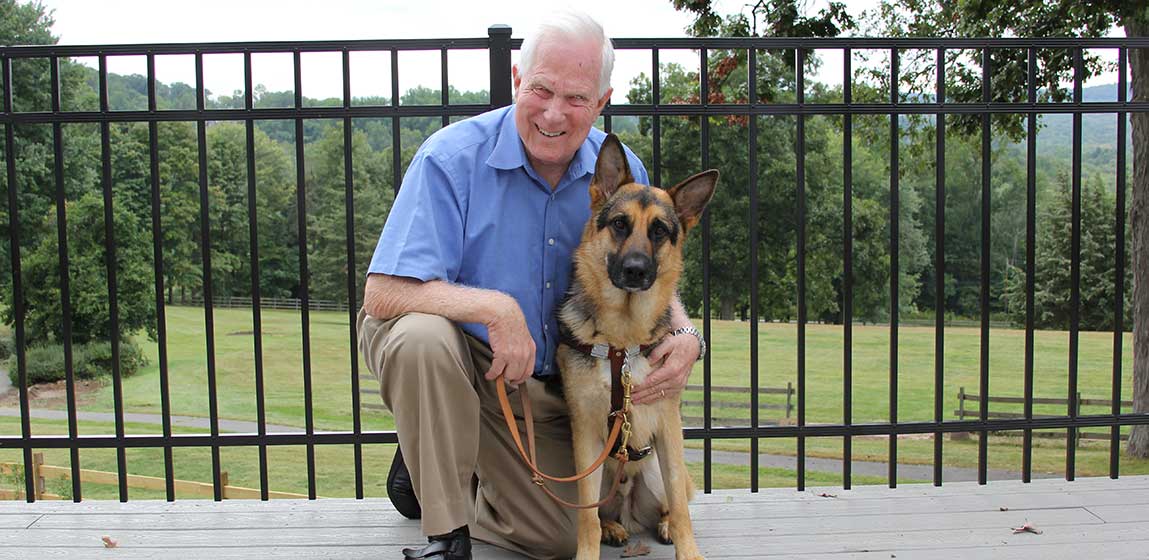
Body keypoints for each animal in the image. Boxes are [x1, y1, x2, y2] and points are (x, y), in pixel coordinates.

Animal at [558, 133, 716, 558]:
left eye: (660, 231)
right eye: (619, 224)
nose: (635, 270)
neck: (621, 340)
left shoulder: (668, 427)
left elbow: (681, 506)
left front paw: (689, 551)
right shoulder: (585, 436)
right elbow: (587, 517)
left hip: (656, 472)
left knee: (673, 501)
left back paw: (660, 524)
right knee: (603, 513)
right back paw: (614, 527)